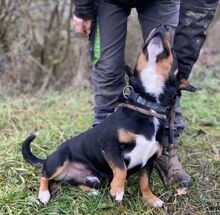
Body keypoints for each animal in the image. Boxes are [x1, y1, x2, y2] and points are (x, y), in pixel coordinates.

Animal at [21, 24, 192, 207]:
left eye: (173, 51)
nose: (161, 26)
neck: (147, 106)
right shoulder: (109, 144)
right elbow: (121, 168)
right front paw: (118, 189)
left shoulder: (149, 161)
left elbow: (145, 182)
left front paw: (150, 199)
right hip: (58, 162)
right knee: (44, 174)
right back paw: (44, 194)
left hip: (93, 178)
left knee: (76, 183)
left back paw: (92, 192)